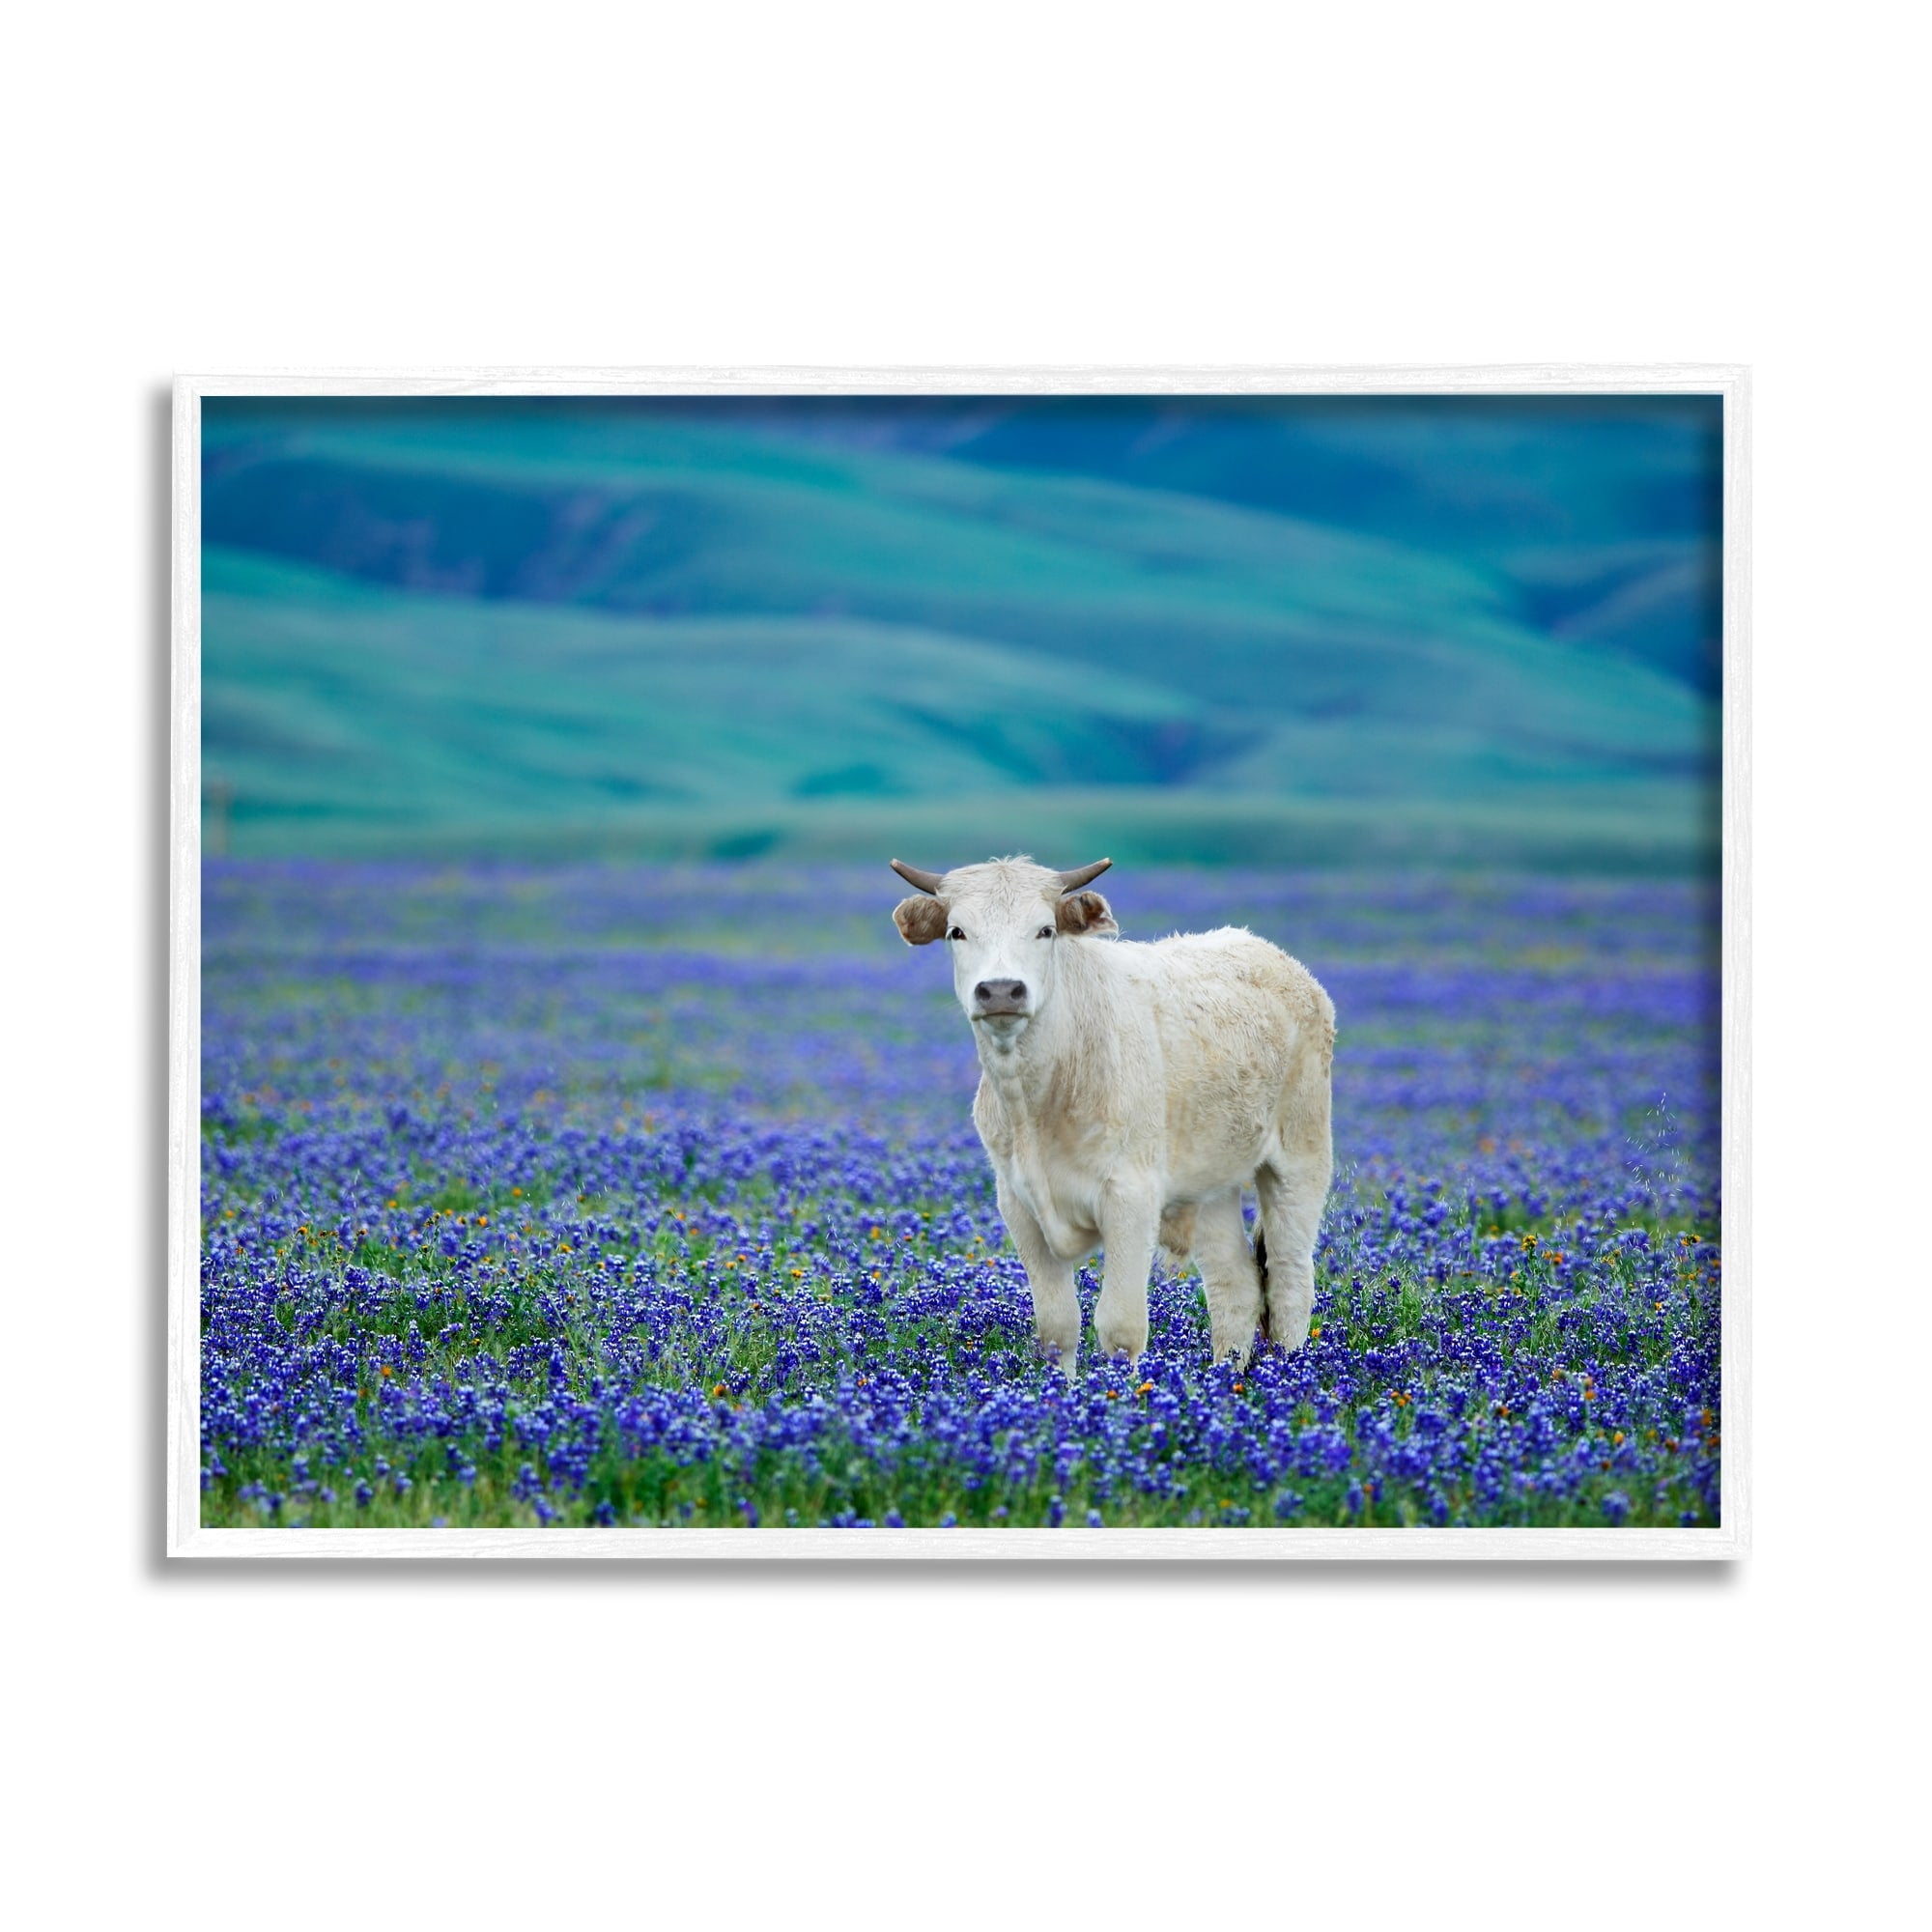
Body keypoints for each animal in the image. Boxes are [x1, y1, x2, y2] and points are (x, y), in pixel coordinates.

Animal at [889, 854, 1334, 1373]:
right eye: (957, 932)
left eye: (1045, 930)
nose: (1000, 991)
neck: (1036, 1100)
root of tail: (1272, 955)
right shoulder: (1017, 1204)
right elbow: (1057, 1326)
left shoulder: (1130, 1197)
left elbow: (1120, 1326)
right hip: (1210, 1185)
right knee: (1235, 1287)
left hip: (1299, 1161)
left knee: (1288, 1284)